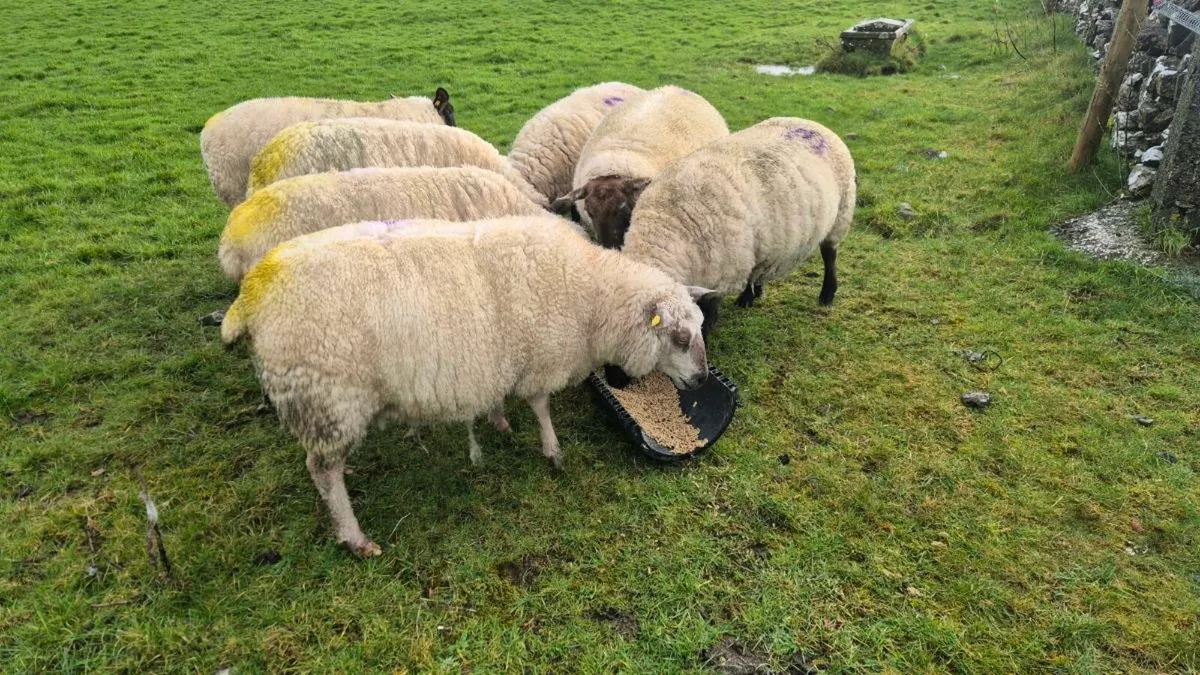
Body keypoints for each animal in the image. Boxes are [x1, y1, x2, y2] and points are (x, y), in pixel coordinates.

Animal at [221, 216, 711, 556]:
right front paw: (552, 452)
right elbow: (540, 406)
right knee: (323, 471)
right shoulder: (540, 356)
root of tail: (250, 296)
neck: (591, 295)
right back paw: (355, 537)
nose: (704, 378)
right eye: (679, 338)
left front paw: (498, 420)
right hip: (328, 395)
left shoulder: (504, 359)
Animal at [613, 117, 856, 337]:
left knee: (830, 255)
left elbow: (707, 318)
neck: (665, 227)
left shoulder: (719, 277)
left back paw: (827, 294)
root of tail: (815, 125)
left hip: (840, 216)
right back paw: (750, 295)